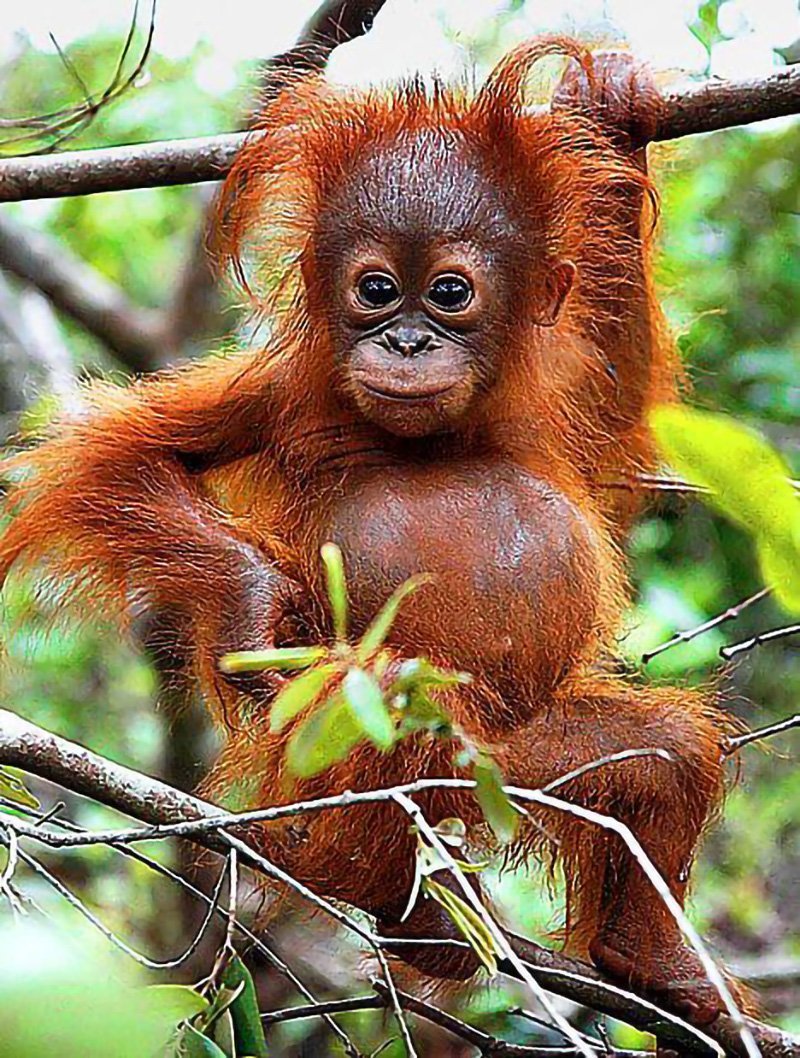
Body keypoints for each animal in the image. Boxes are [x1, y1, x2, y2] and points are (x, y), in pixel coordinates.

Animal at [0, 38, 736, 1026]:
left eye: (451, 293)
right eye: (377, 290)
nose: (409, 343)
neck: (440, 436)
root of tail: (476, 777)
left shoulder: (559, 390)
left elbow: (621, 421)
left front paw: (611, 117)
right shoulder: (281, 389)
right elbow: (122, 456)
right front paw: (256, 610)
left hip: (527, 755)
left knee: (664, 754)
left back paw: (648, 960)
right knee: (380, 701)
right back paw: (410, 910)